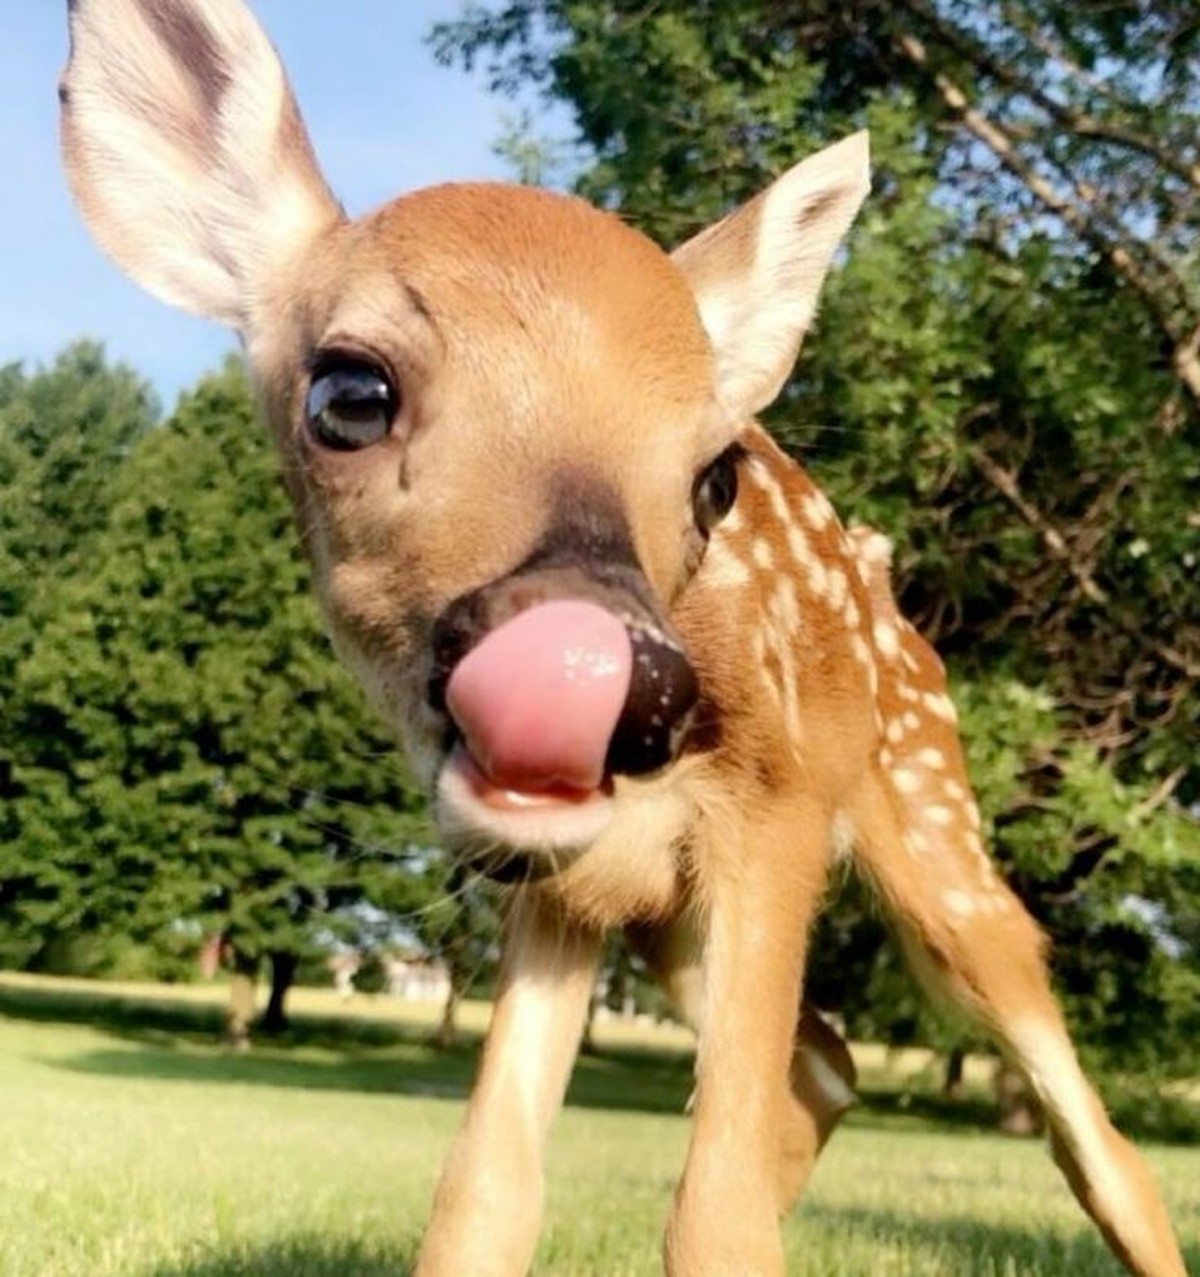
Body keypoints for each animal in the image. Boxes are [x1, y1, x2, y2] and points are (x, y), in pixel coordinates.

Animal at [58, 2, 1187, 1275]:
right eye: (347, 393)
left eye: (716, 475)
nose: (622, 675)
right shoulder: (564, 878)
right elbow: (487, 1190)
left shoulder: (774, 806)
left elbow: (717, 1212)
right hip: (669, 919)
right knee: (825, 1063)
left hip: (938, 833)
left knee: (1096, 1142)